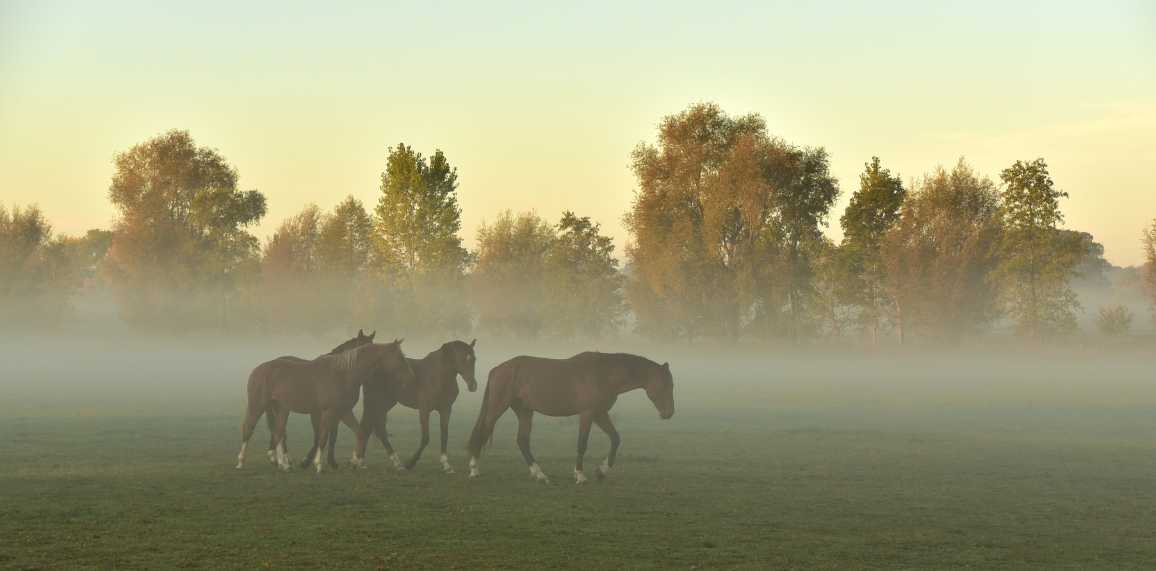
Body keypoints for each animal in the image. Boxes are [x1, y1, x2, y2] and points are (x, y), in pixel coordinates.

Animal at [234, 339, 416, 473]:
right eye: (400, 358)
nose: (410, 378)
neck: (343, 374)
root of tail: (258, 370)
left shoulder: (344, 412)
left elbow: (360, 432)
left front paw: (357, 462)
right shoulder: (329, 412)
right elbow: (322, 437)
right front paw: (319, 465)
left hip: (280, 409)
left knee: (278, 432)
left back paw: (284, 464)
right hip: (257, 405)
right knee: (248, 428)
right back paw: (241, 462)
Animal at [351, 339, 478, 473]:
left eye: (474, 359)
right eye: (462, 359)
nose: (473, 385)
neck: (438, 376)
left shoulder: (446, 409)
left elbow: (444, 435)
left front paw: (446, 465)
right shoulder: (424, 410)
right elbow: (426, 438)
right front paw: (410, 463)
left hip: (385, 404)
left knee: (373, 427)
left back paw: (367, 461)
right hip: (375, 402)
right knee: (369, 427)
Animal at [464, 349, 675, 483]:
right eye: (666, 385)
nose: (669, 413)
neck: (603, 374)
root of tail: (497, 370)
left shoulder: (600, 414)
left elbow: (615, 439)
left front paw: (601, 471)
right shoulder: (588, 414)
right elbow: (582, 444)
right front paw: (580, 475)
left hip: (525, 411)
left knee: (522, 440)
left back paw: (540, 474)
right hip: (497, 407)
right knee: (482, 432)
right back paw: (474, 469)